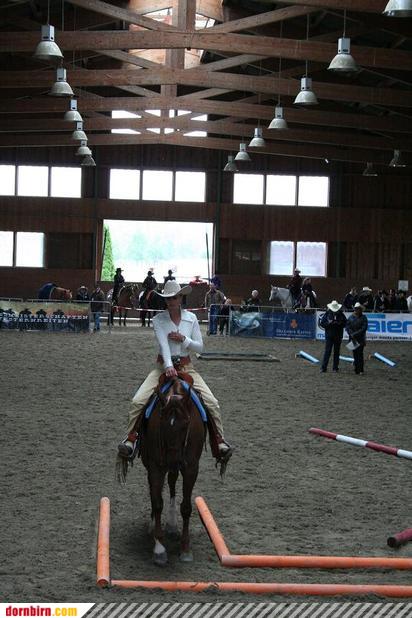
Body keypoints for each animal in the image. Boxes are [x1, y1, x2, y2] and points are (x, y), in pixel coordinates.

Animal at [141, 376, 205, 565]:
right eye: (162, 424)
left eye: (186, 425)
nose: (173, 460)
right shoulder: (156, 466)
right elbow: (157, 503)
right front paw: (159, 548)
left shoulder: (191, 468)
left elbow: (186, 507)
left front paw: (185, 548)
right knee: (154, 489)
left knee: (171, 483)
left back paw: (172, 525)